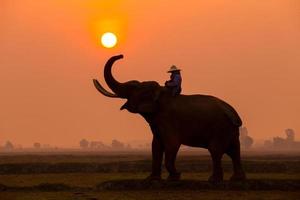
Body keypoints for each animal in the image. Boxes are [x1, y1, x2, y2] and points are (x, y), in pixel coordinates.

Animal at [94, 54, 246, 182]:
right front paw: (152, 179)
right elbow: (156, 146)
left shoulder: (168, 119)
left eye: (132, 88)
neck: (159, 92)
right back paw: (236, 179)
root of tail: (232, 111)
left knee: (216, 150)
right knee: (234, 151)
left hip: (219, 128)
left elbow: (171, 144)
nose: (121, 55)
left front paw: (175, 177)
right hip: (230, 129)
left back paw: (214, 180)